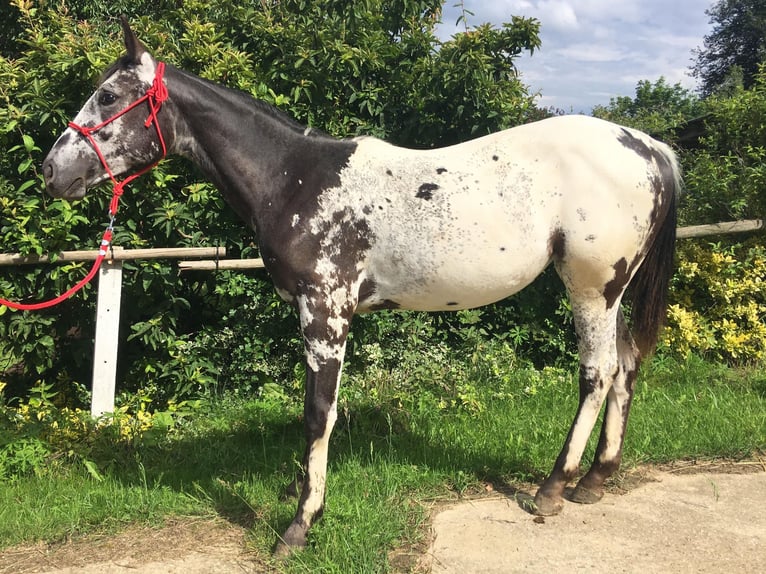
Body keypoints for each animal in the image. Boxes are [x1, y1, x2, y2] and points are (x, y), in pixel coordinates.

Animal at [42, 20, 680, 556]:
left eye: (108, 96)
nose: (51, 172)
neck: (296, 179)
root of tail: (649, 147)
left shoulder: (326, 312)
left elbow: (317, 413)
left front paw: (300, 526)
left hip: (591, 287)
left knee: (597, 372)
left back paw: (552, 489)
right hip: (613, 292)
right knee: (625, 365)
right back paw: (595, 479)